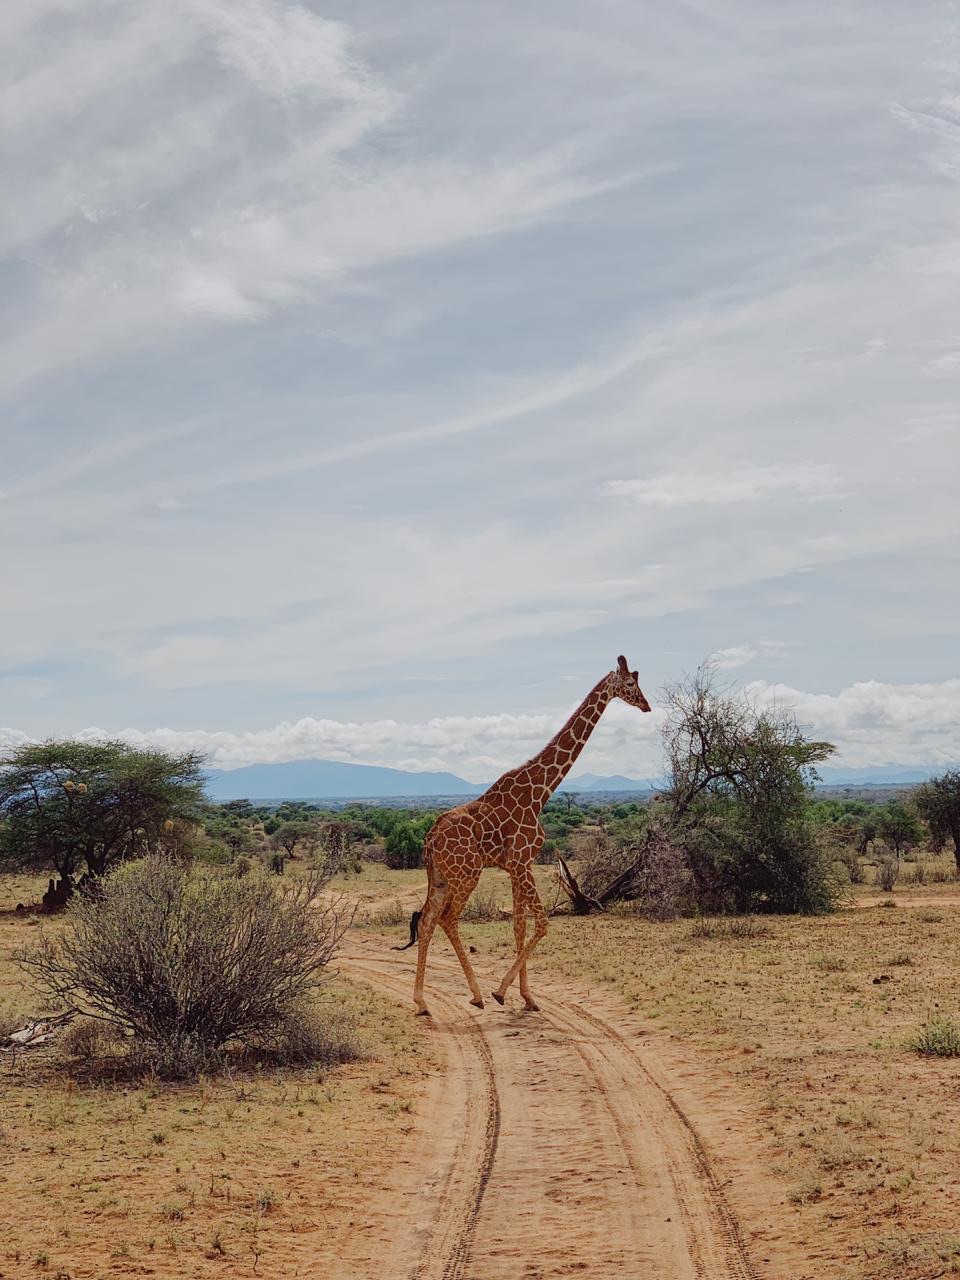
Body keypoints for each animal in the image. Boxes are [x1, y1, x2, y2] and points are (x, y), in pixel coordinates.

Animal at [396, 660, 655, 1008]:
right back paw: (477, 994)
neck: (540, 791)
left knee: (425, 920)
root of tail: (430, 838)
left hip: (440, 877)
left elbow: (519, 924)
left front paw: (526, 996)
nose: (646, 705)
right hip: (467, 873)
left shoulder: (517, 865)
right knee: (448, 919)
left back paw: (422, 1002)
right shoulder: (521, 862)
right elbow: (542, 923)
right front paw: (502, 991)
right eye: (629, 684)